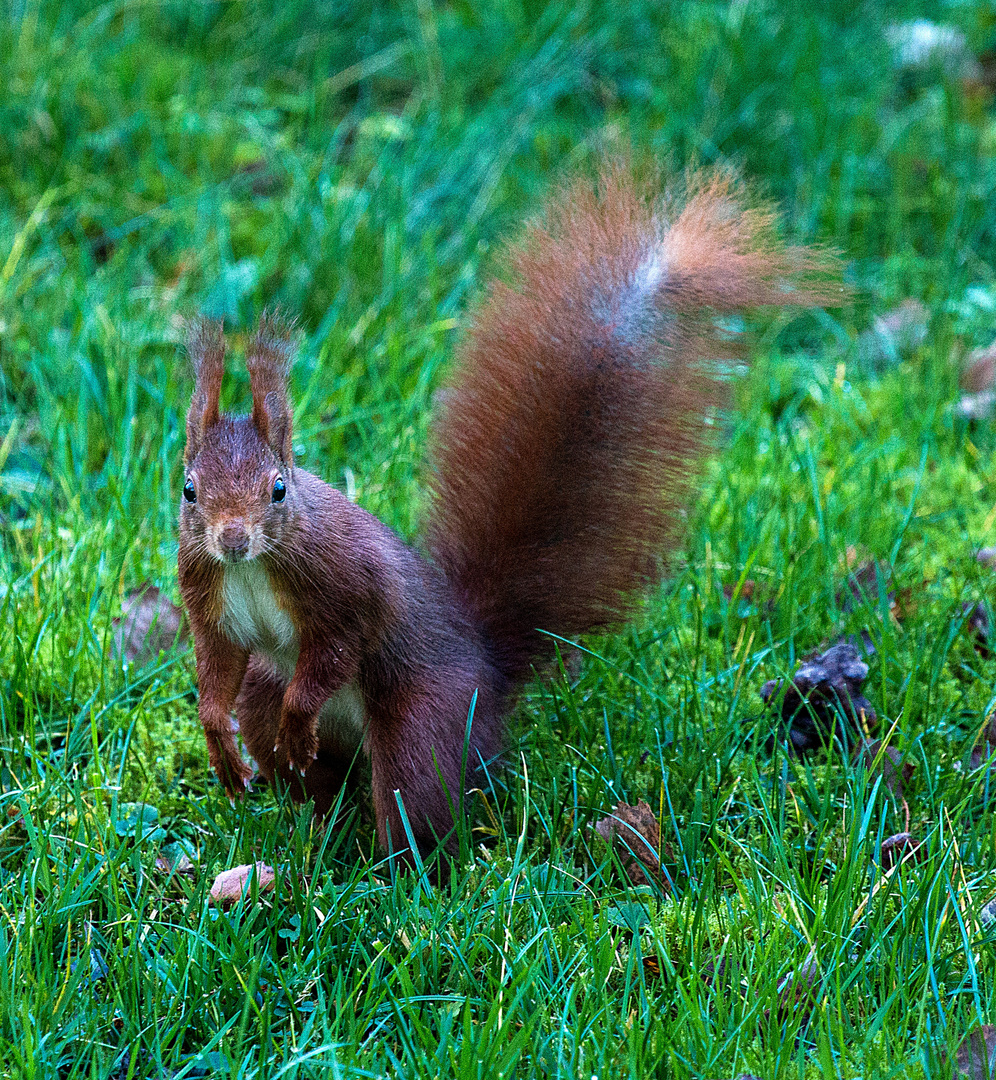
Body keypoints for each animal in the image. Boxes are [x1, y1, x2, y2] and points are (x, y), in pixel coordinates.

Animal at [178, 162, 838, 868]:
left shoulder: (344, 581)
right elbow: (216, 666)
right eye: (189, 489)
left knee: (414, 797)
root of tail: (488, 672)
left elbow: (336, 646)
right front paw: (219, 744)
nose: (232, 538)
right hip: (268, 696)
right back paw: (312, 826)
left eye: (278, 489)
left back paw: (393, 873)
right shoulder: (207, 593)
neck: (256, 567)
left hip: (425, 721)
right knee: (299, 756)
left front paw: (300, 714)